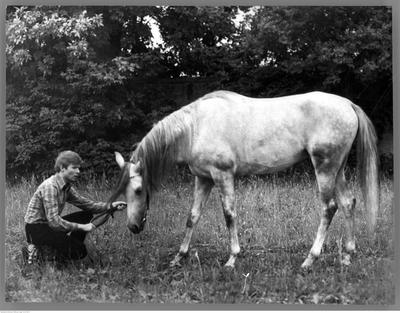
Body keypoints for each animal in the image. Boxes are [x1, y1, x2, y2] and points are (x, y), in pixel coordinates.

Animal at [108, 91, 378, 268]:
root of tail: (347, 104)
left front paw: (232, 258)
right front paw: (179, 257)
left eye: (139, 190)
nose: (134, 226)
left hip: (325, 168)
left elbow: (229, 215)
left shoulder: (222, 175)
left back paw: (310, 259)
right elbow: (192, 217)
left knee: (329, 207)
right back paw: (347, 255)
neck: (196, 127)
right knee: (347, 203)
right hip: (337, 170)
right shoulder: (203, 179)